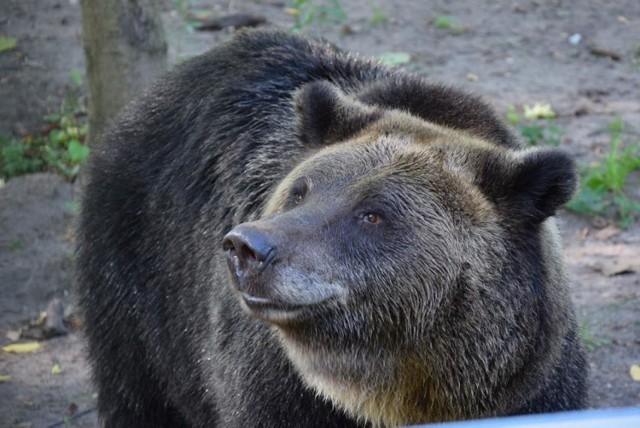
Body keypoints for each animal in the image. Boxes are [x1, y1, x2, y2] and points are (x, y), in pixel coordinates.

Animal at [77, 28, 588, 426]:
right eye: (301, 191)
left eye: (372, 214)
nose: (247, 246)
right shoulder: (276, 392)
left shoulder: (530, 389)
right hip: (139, 283)